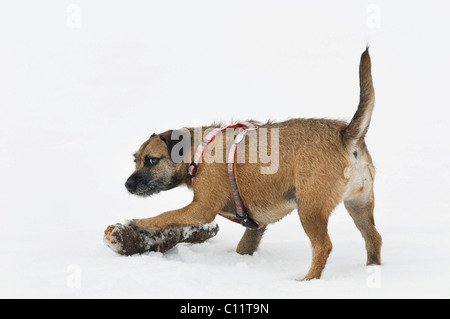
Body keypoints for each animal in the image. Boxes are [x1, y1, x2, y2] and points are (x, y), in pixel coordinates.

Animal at [125, 48, 382, 282]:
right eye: (135, 159)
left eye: (151, 160)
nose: (127, 185)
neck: (200, 149)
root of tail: (346, 135)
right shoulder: (255, 225)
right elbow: (245, 246)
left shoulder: (201, 209)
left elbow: (167, 214)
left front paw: (140, 223)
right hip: (359, 205)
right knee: (373, 238)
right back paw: (372, 270)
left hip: (310, 209)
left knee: (323, 246)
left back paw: (308, 280)